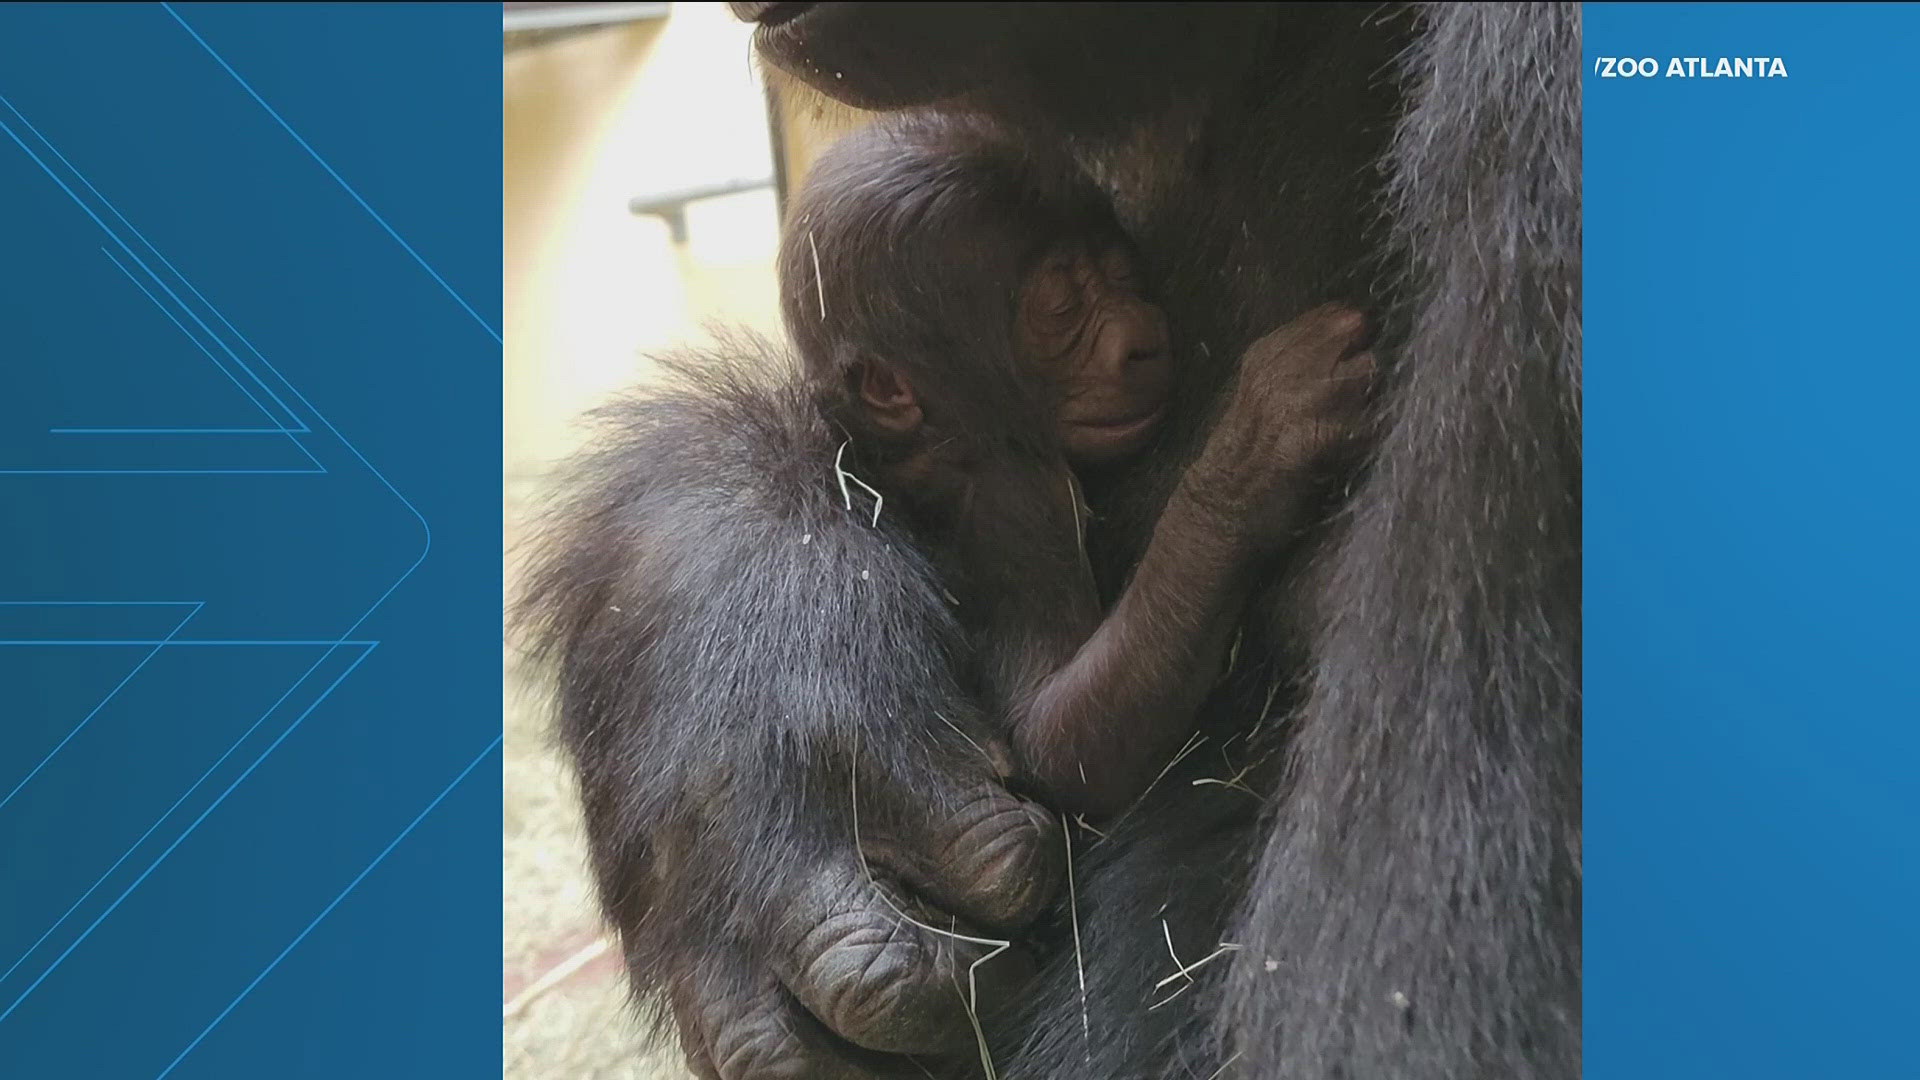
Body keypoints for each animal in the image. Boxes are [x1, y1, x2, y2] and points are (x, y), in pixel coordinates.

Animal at [783, 115, 1382, 814]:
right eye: (1060, 306)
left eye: (1122, 275)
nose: (1144, 340)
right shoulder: (1019, 494)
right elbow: (1056, 738)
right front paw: (1255, 453)